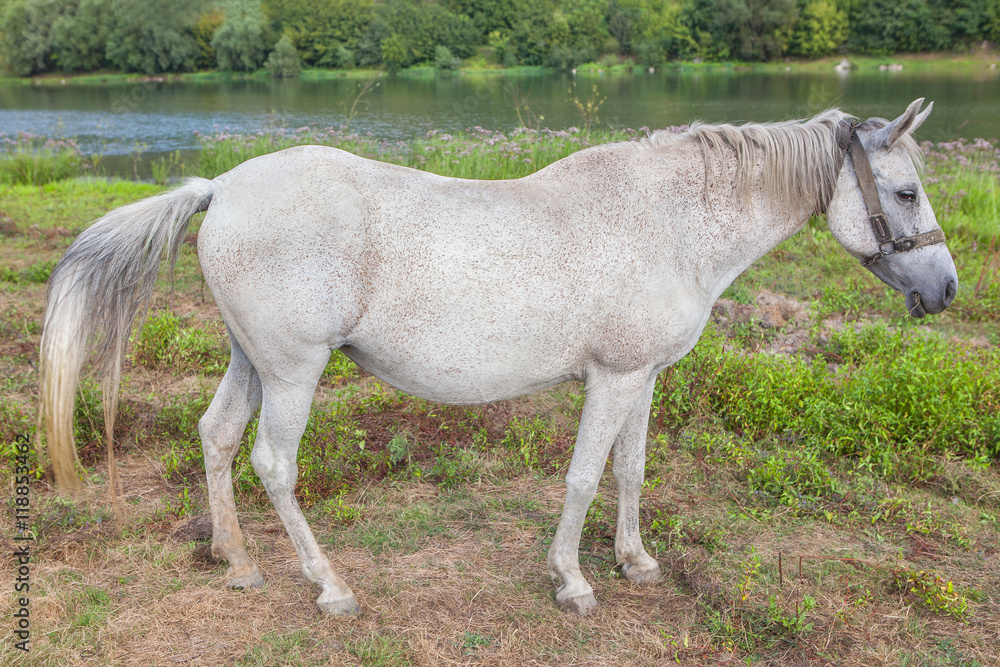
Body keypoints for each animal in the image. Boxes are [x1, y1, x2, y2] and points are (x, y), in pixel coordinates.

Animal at [39, 99, 957, 616]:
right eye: (906, 191)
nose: (946, 289)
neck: (669, 221)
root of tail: (222, 187)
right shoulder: (611, 379)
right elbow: (583, 477)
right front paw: (573, 582)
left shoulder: (643, 379)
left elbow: (631, 471)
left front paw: (635, 561)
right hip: (295, 373)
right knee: (273, 463)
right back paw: (329, 585)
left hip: (252, 363)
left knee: (218, 436)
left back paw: (238, 564)